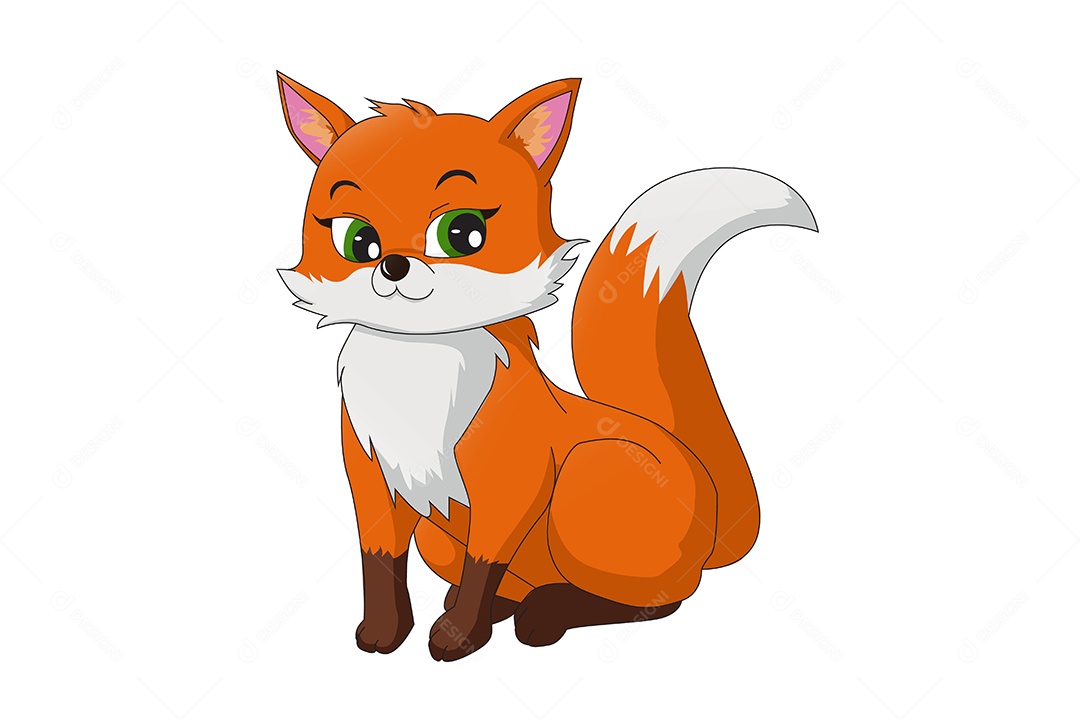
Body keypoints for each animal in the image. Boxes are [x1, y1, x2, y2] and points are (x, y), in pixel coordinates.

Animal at [275, 73, 816, 661]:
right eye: (357, 240)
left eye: (462, 233)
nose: (394, 265)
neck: (416, 369)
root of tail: (707, 490)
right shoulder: (373, 479)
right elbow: (381, 563)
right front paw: (385, 631)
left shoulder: (511, 484)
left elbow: (483, 565)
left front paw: (460, 636)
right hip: (440, 538)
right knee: (522, 583)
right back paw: (507, 605)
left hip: (589, 474)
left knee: (659, 600)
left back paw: (546, 615)